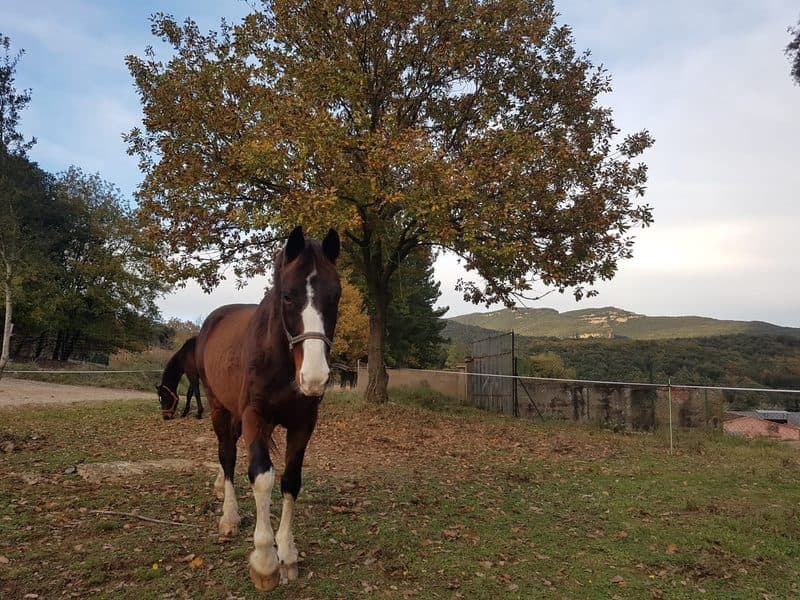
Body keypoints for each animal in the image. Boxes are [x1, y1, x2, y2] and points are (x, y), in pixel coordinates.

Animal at [196, 226, 341, 592]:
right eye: (287, 297)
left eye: (335, 297)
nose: (315, 377)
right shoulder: (254, 417)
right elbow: (261, 477)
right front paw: (264, 561)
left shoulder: (303, 423)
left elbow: (290, 480)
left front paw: (287, 554)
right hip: (219, 409)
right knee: (227, 455)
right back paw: (229, 516)